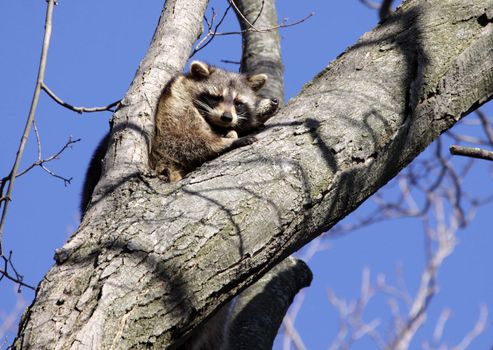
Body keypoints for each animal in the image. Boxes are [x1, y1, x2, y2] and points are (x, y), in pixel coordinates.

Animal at [148, 60, 276, 182]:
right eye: (216, 98)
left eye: (237, 103)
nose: (227, 117)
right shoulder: (176, 105)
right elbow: (181, 139)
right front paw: (228, 142)